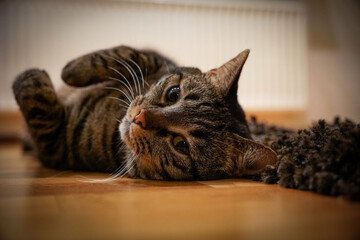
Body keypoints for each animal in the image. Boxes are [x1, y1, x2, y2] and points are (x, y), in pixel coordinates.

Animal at [11, 45, 276, 180]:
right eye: (173, 94)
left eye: (180, 144)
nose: (139, 118)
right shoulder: (157, 60)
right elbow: (129, 53)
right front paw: (71, 71)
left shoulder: (54, 145)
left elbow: (39, 103)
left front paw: (31, 77)